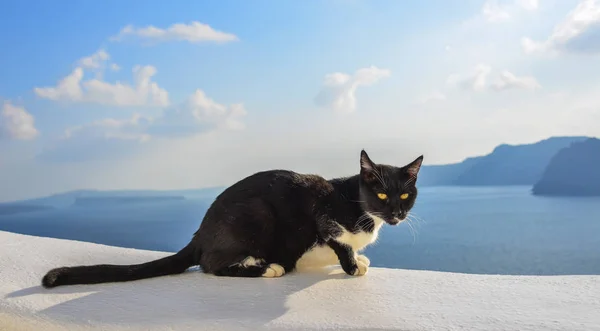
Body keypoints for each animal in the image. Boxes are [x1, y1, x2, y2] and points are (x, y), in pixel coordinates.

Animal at [41, 149, 422, 290]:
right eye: (382, 196)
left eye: (405, 196)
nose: (397, 214)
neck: (359, 208)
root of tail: (200, 232)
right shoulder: (323, 213)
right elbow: (340, 243)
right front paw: (353, 265)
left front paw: (360, 259)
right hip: (256, 214)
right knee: (211, 264)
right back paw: (267, 267)